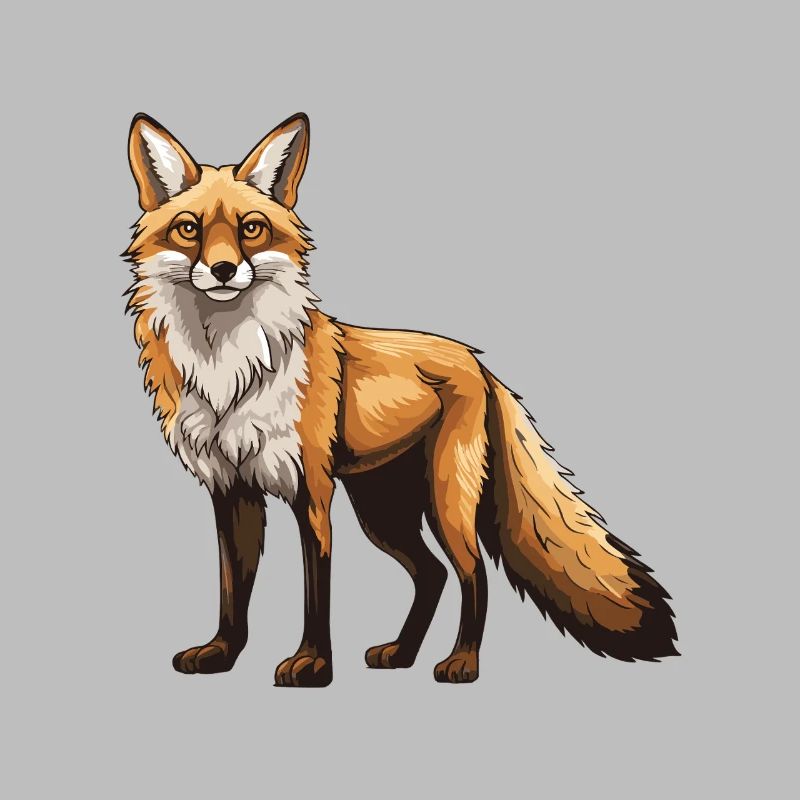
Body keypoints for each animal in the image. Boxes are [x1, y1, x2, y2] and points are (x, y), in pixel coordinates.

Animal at [123, 112, 678, 686]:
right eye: (189, 229)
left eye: (251, 229)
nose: (224, 270)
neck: (229, 371)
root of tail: (477, 361)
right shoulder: (230, 489)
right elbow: (233, 588)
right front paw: (222, 653)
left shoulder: (311, 490)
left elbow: (316, 589)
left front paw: (314, 663)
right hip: (382, 511)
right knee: (432, 574)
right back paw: (402, 653)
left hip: (444, 501)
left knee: (473, 573)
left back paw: (462, 663)